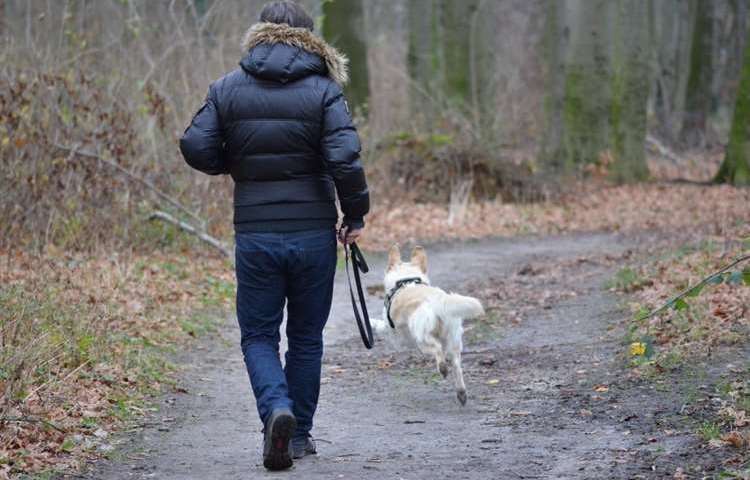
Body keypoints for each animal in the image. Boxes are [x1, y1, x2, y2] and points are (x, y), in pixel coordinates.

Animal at [376, 244, 488, 404]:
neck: (405, 280)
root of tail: (438, 301)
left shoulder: (393, 331)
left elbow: (381, 327)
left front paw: (373, 324)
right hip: (453, 341)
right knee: (456, 366)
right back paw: (461, 392)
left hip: (422, 340)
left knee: (437, 350)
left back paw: (442, 369)